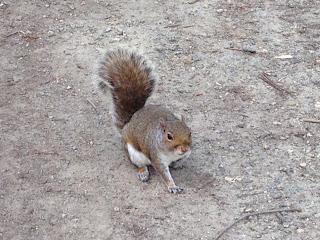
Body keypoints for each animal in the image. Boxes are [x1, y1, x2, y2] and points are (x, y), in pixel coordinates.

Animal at [99, 48, 191, 193]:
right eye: (169, 136)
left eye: (189, 132)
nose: (184, 148)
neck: (172, 153)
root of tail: (129, 122)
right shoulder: (156, 157)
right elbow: (164, 174)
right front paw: (172, 186)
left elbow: (185, 157)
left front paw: (179, 163)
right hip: (133, 154)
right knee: (139, 164)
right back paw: (143, 172)